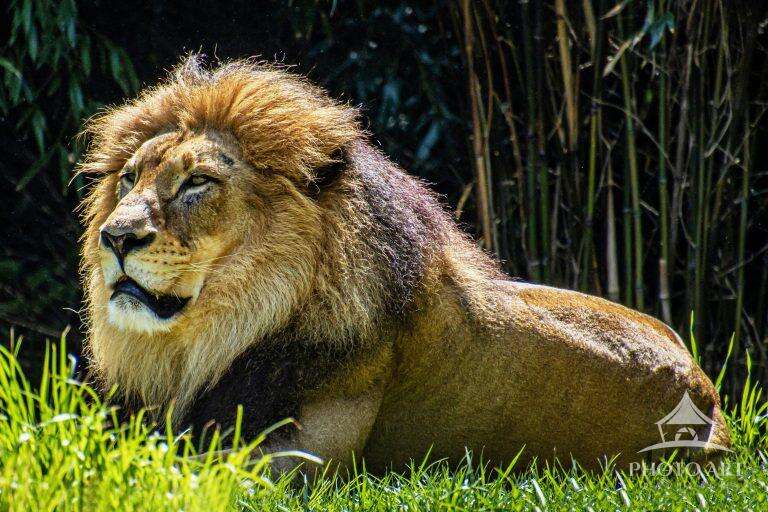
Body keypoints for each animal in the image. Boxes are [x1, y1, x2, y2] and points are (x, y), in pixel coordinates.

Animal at [78, 56, 730, 473]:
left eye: (197, 183)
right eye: (130, 179)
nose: (115, 236)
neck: (216, 339)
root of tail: (707, 392)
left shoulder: (297, 460)